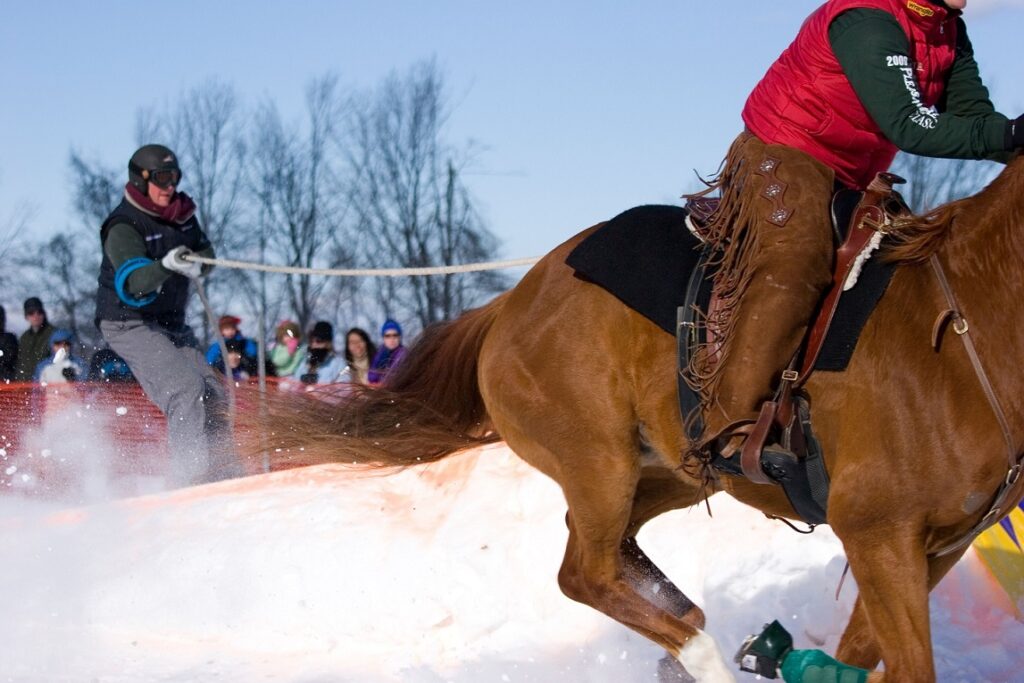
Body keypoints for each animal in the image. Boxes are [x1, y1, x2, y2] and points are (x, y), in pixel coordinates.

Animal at [258, 156, 1024, 683]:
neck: (960, 330)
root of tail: (510, 302)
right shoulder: (877, 531)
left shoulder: (934, 547)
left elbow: (861, 655)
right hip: (598, 459)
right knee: (583, 573)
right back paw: (703, 655)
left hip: (671, 473)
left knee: (607, 549)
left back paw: (693, 635)